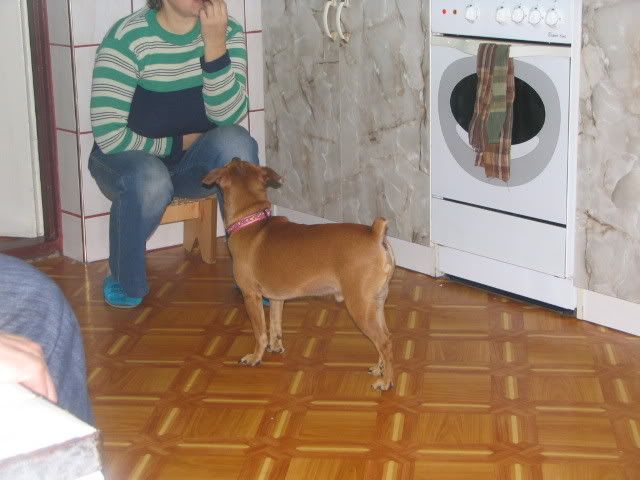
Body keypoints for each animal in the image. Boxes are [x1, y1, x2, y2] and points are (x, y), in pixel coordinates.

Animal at [203, 158, 395, 390]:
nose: (234, 157)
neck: (253, 221)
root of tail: (375, 234)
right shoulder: (276, 299)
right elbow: (275, 326)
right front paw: (275, 347)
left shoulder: (251, 297)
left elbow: (260, 332)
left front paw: (256, 357)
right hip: (375, 305)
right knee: (385, 337)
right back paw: (380, 368)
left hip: (361, 307)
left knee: (384, 342)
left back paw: (386, 382)